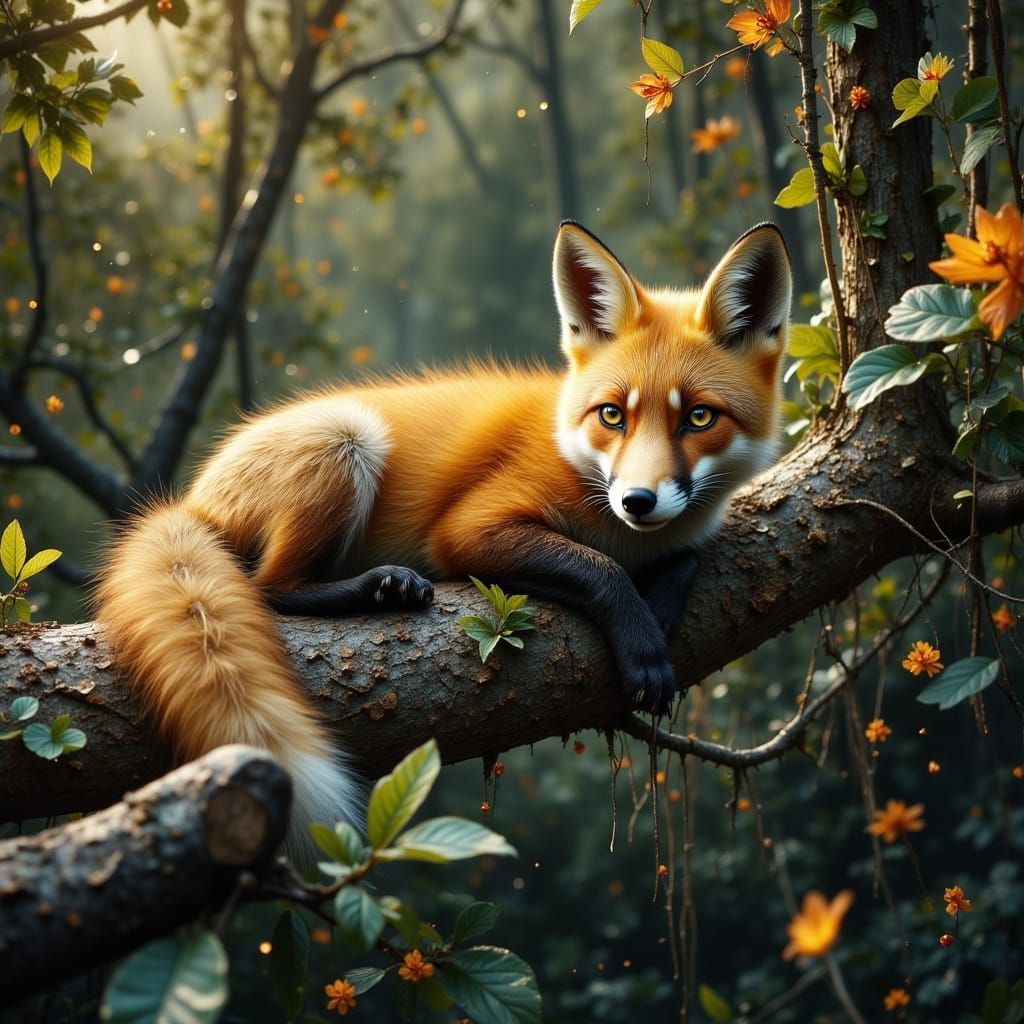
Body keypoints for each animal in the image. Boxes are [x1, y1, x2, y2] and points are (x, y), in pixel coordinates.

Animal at [96, 221, 792, 855]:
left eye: (698, 417)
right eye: (612, 415)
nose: (637, 501)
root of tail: (193, 496)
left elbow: (684, 556)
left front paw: (663, 601)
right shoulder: (467, 530)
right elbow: (599, 568)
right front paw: (644, 644)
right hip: (346, 441)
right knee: (271, 588)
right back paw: (381, 586)